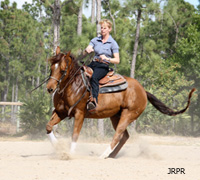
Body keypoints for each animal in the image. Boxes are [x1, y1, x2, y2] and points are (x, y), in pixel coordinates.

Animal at [45, 46, 195, 159]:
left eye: (62, 70)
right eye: (51, 68)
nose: (50, 88)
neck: (73, 86)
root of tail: (143, 91)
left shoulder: (80, 114)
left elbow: (75, 135)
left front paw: (69, 154)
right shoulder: (61, 112)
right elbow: (48, 127)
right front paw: (58, 147)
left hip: (128, 115)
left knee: (118, 135)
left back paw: (103, 155)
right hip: (116, 116)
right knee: (125, 136)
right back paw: (111, 156)